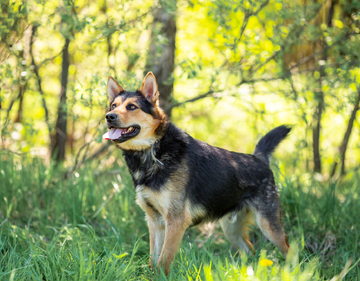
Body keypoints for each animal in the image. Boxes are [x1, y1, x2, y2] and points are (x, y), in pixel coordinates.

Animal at [102, 71, 292, 274]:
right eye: (113, 106)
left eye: (132, 107)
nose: (109, 116)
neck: (154, 149)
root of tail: (259, 158)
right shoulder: (155, 222)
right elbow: (153, 261)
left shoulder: (176, 221)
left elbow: (163, 261)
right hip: (231, 229)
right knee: (250, 250)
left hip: (269, 227)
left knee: (291, 252)